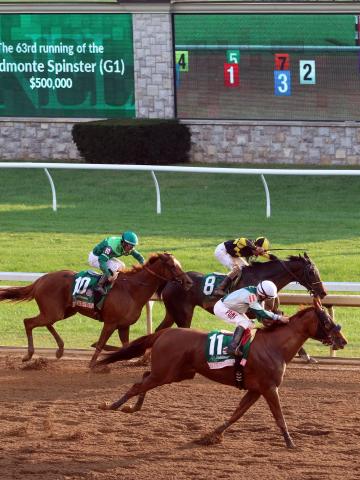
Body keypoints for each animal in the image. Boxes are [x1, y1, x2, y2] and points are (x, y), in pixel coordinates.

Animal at [0, 251, 193, 368]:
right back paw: (28, 355)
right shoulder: (110, 322)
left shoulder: (124, 326)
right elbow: (101, 343)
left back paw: (60, 350)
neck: (132, 290)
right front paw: (93, 363)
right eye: (173, 266)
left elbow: (126, 347)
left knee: (46, 323)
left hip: (63, 311)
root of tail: (40, 280)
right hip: (54, 311)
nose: (189, 282)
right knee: (28, 322)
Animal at [97, 302, 346, 448]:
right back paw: (113, 405)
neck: (274, 346)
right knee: (138, 385)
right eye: (327, 321)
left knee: (145, 376)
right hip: (166, 373)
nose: (342, 340)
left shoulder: (256, 389)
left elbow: (237, 413)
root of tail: (165, 332)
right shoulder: (269, 388)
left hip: (176, 373)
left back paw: (133, 406)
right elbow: (279, 416)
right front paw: (290, 442)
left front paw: (212, 435)